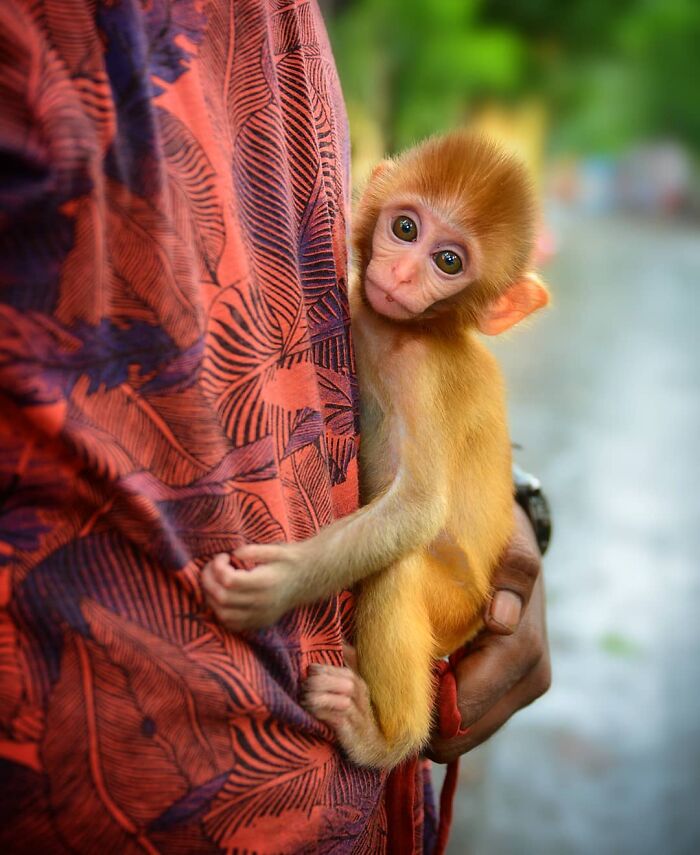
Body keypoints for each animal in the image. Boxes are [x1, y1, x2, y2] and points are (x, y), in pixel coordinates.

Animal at [202, 130, 549, 768]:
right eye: (406, 228)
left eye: (448, 261)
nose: (404, 273)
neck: (410, 330)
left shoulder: (421, 376)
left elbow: (417, 508)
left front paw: (277, 585)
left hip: (456, 606)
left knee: (399, 568)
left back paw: (382, 737)